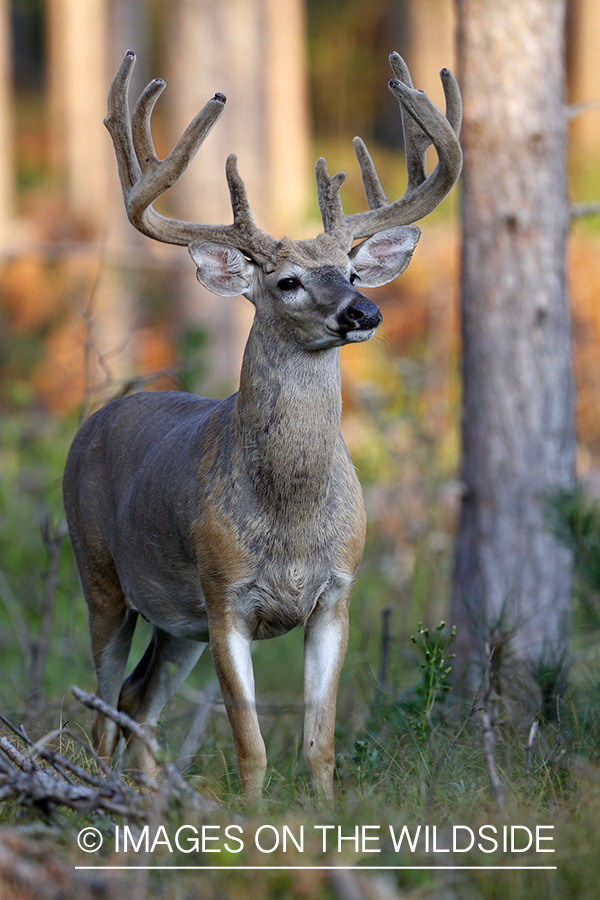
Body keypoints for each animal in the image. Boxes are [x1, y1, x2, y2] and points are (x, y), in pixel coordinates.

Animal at [63, 49, 462, 800]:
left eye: (348, 271)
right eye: (287, 282)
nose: (365, 311)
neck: (291, 518)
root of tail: (96, 417)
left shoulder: (336, 592)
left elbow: (319, 740)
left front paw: (325, 813)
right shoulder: (224, 595)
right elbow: (251, 742)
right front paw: (253, 817)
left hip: (175, 622)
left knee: (136, 700)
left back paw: (151, 800)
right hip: (99, 573)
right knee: (102, 707)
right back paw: (101, 799)